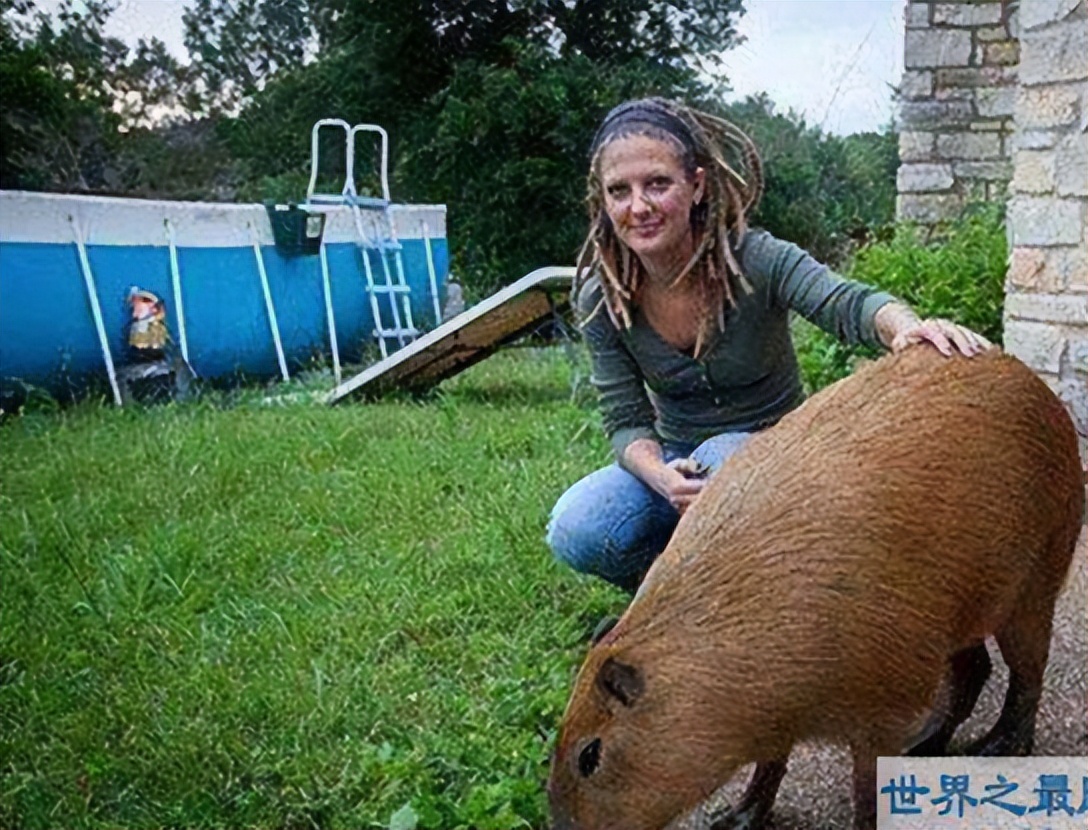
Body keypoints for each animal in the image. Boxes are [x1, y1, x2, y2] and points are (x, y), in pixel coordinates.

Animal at [548, 347, 1084, 830]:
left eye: (589, 755)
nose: (562, 825)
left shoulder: (884, 695)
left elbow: (867, 787)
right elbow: (771, 758)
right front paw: (736, 817)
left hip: (1038, 572)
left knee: (1026, 669)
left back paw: (996, 746)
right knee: (975, 669)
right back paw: (926, 746)